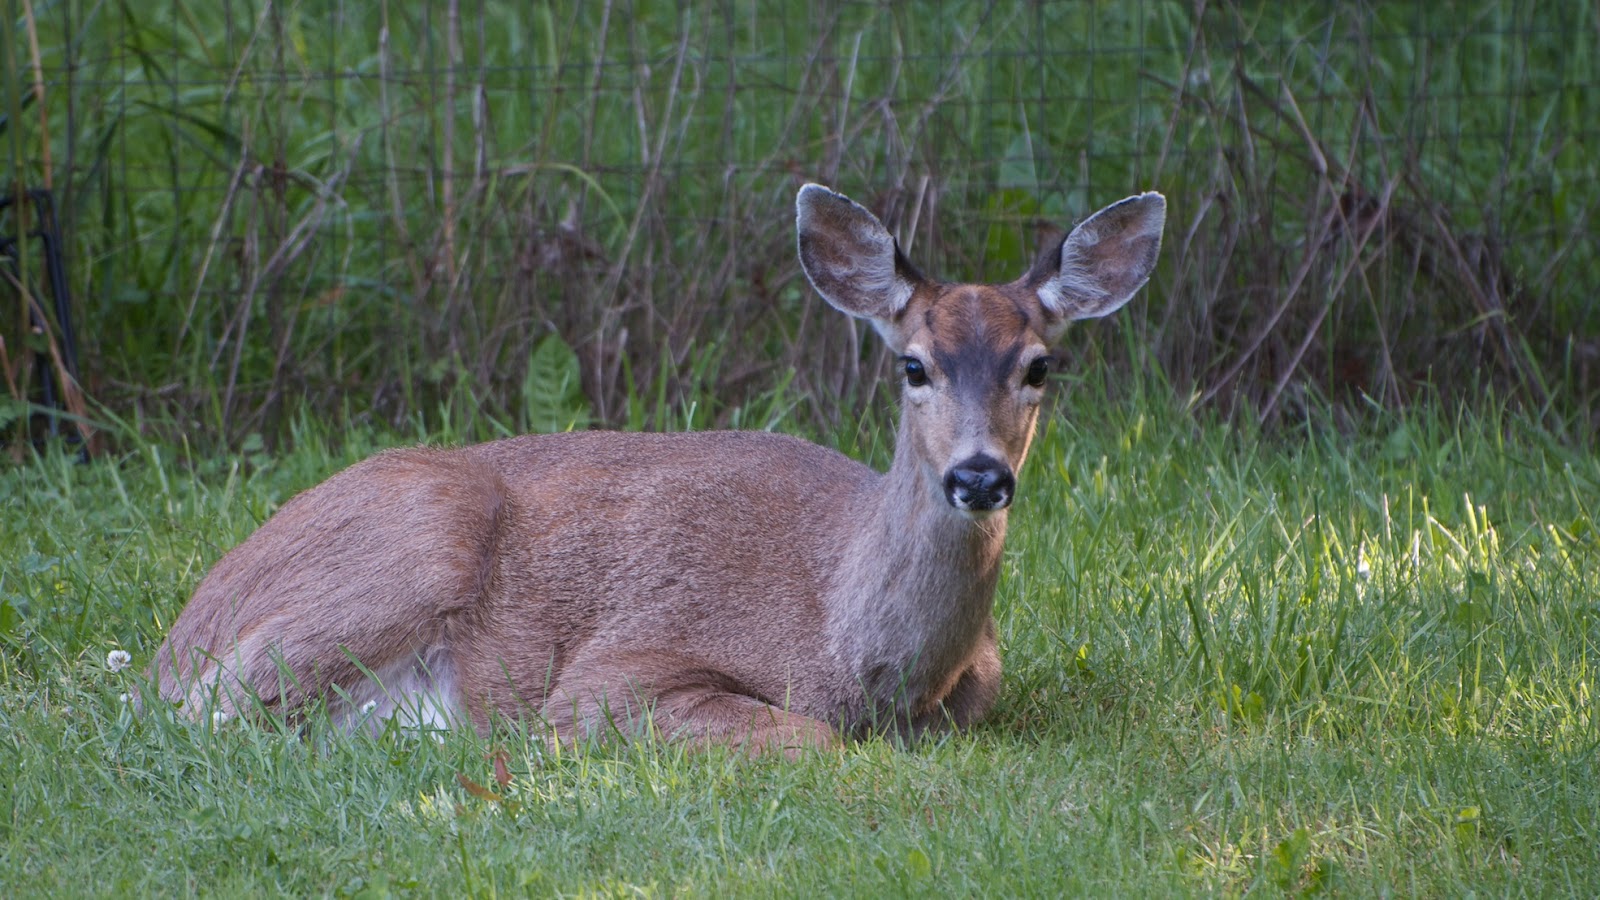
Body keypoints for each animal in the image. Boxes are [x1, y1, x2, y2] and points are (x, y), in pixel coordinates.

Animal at [148, 183, 1165, 756]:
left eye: (1040, 366)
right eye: (913, 366)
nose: (979, 477)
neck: (850, 646)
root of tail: (180, 632)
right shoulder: (617, 669)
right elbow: (812, 739)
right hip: (418, 536)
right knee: (209, 711)